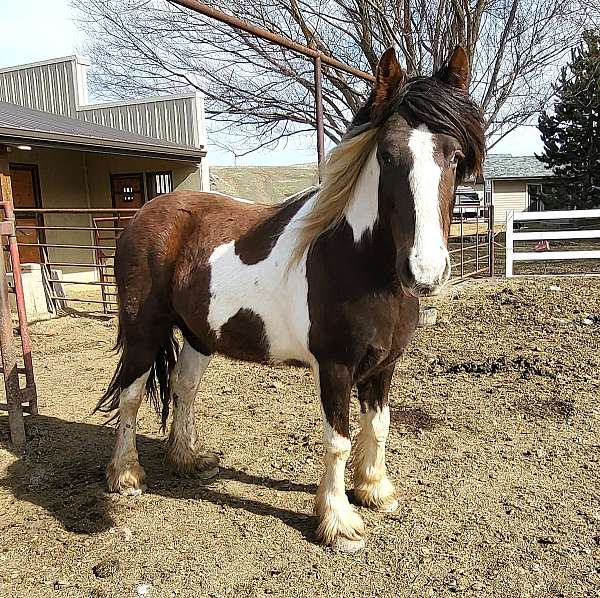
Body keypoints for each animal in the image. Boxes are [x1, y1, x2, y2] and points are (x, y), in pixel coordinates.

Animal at [96, 45, 486, 552]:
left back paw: (189, 459)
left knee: (184, 386)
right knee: (131, 393)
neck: (354, 260)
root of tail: (146, 213)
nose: (425, 271)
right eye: (387, 155)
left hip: (201, 334)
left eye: (455, 156)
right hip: (145, 329)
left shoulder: (384, 365)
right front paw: (338, 521)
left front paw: (375, 491)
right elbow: (338, 440)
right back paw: (125, 475)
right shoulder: (335, 368)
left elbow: (378, 426)